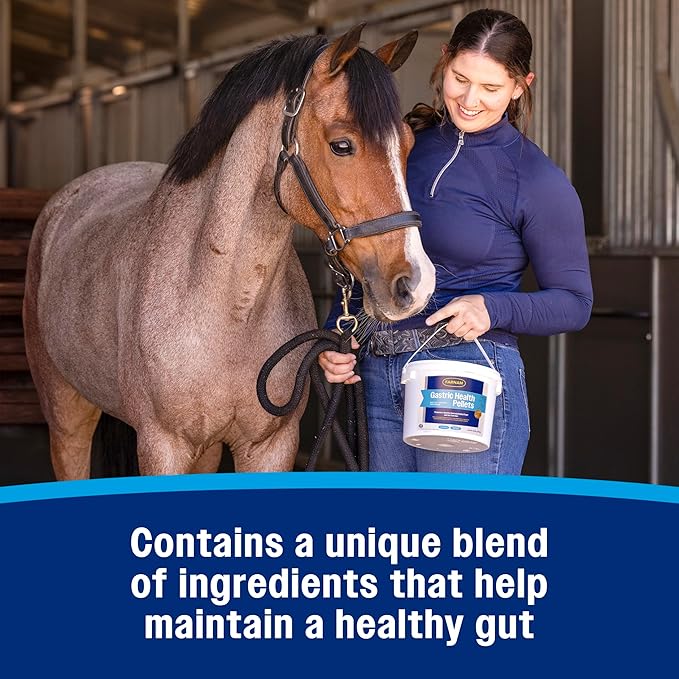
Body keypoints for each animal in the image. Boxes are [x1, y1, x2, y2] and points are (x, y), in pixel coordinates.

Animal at [23, 24, 436, 479]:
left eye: (408, 143)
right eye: (342, 145)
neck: (229, 307)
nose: (415, 283)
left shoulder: (270, 446)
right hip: (66, 412)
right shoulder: (162, 447)